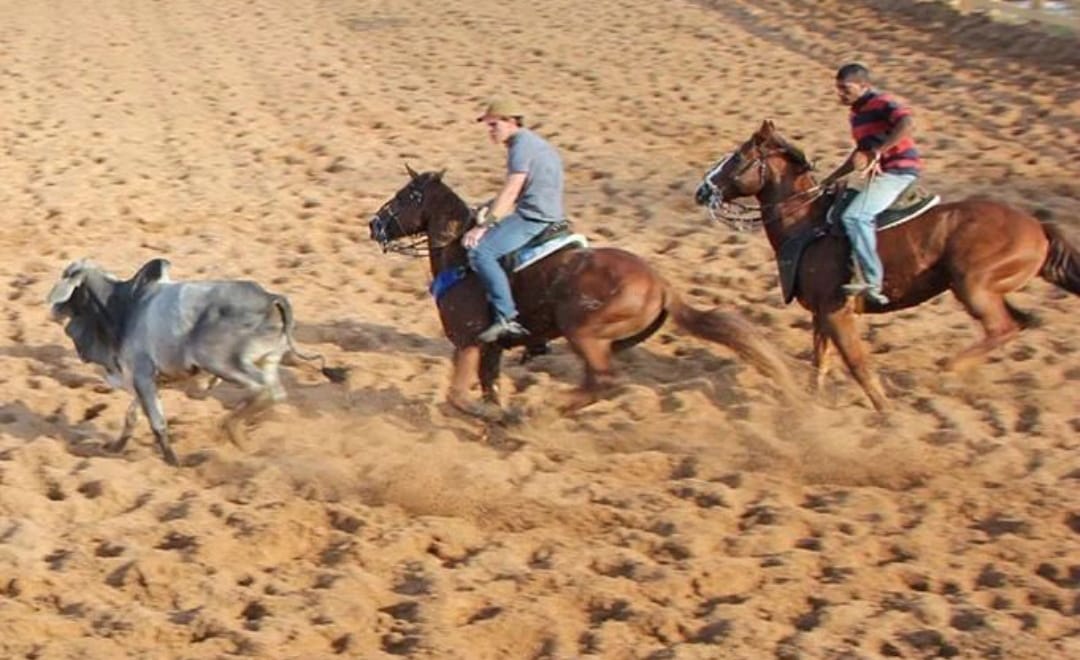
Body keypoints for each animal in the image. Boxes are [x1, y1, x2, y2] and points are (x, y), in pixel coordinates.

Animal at [44, 258, 341, 464]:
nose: (53, 309)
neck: (123, 306)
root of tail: (270, 298)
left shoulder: (141, 373)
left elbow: (156, 422)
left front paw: (173, 462)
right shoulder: (148, 380)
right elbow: (132, 416)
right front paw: (115, 448)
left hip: (221, 360)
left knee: (261, 389)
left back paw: (231, 428)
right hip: (266, 360)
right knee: (276, 393)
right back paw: (242, 439)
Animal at [367, 167, 799, 421]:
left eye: (405, 196)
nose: (374, 224)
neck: (461, 256)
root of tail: (662, 284)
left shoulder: (469, 340)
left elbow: (458, 396)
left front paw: (500, 417)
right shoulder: (490, 349)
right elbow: (489, 388)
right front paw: (495, 417)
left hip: (582, 330)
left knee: (604, 380)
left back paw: (542, 410)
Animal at [695, 118, 1075, 408]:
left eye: (737, 157)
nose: (702, 190)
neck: (807, 223)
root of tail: (1039, 226)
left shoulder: (837, 313)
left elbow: (858, 364)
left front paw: (887, 415)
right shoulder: (821, 315)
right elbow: (821, 363)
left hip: (972, 286)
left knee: (1002, 328)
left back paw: (948, 369)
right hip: (990, 288)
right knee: (1019, 323)